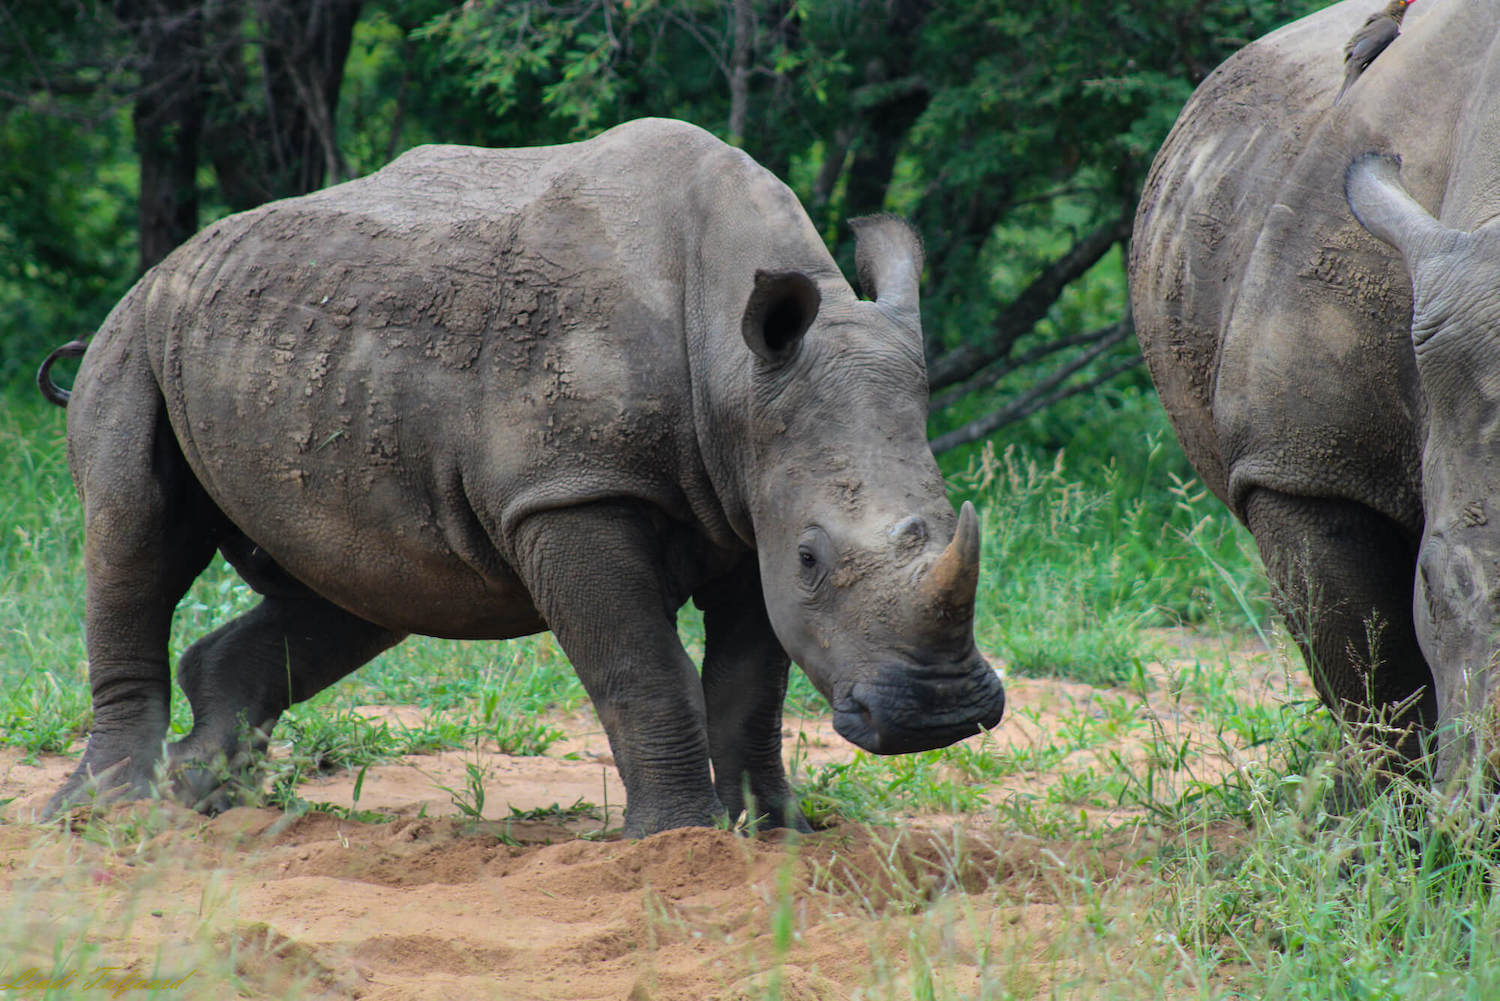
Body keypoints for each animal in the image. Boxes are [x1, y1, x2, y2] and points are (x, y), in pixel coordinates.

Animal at [38, 117, 1005, 836]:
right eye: (813, 556)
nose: (940, 716)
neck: (734, 369)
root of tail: (171, 265)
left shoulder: (749, 501)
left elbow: (749, 686)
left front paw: (773, 836)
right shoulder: (570, 490)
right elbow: (641, 667)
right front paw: (677, 843)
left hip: (295, 357)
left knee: (365, 581)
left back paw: (206, 801)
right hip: (135, 337)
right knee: (133, 536)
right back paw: (106, 812)